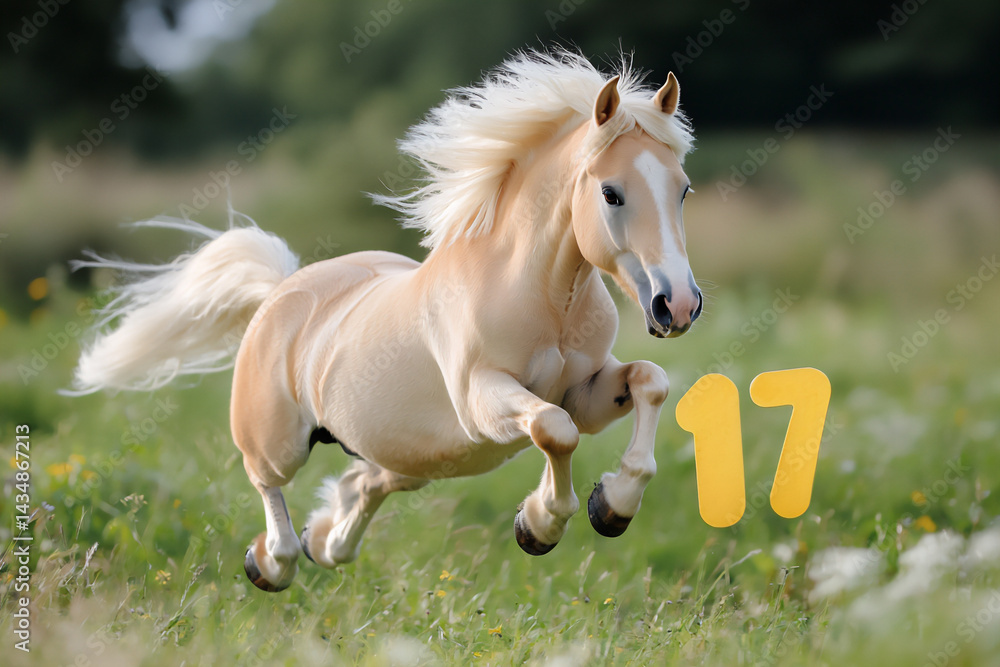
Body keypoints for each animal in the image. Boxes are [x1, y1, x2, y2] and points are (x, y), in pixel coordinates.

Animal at [69, 49, 702, 592]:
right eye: (612, 193)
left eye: (683, 189)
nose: (677, 305)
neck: (545, 299)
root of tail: (280, 291)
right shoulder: (482, 399)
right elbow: (553, 429)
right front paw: (542, 523)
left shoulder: (586, 391)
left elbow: (647, 383)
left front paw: (610, 507)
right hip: (278, 441)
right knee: (268, 483)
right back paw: (272, 563)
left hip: (410, 456)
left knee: (364, 484)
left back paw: (325, 539)